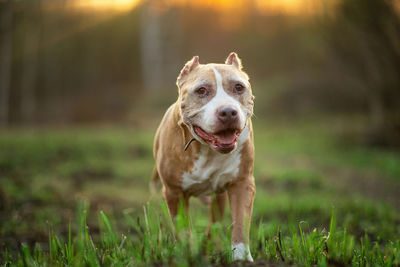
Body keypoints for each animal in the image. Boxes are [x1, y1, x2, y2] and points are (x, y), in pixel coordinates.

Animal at [153, 52, 256, 262]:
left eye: (238, 87)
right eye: (201, 90)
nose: (228, 112)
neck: (208, 150)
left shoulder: (242, 184)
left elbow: (241, 223)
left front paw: (241, 258)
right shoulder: (174, 192)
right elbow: (182, 228)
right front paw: (187, 253)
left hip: (219, 195)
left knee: (215, 220)